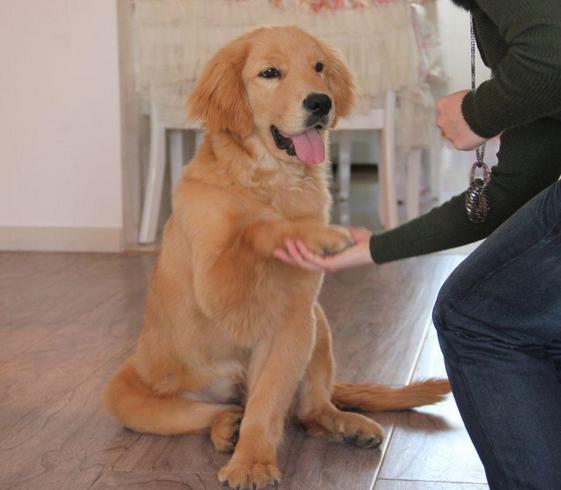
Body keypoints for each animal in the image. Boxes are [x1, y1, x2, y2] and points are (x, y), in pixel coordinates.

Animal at [104, 25, 446, 490]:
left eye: (318, 67)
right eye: (270, 73)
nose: (321, 102)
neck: (271, 180)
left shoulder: (293, 322)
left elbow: (267, 405)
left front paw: (253, 461)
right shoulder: (215, 285)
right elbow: (257, 228)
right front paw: (314, 234)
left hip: (318, 325)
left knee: (310, 410)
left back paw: (346, 425)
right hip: (128, 394)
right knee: (213, 412)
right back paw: (225, 427)